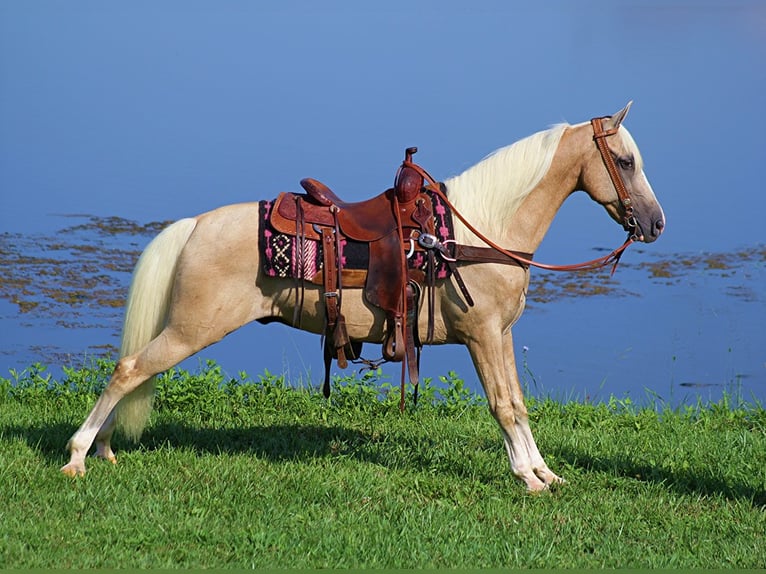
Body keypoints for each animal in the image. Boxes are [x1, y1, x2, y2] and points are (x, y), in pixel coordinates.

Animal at [61, 103, 664, 490]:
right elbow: (503, 404)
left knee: (133, 371)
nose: (656, 223)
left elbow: (517, 401)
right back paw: (78, 456)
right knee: (129, 369)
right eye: (626, 161)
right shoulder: (483, 335)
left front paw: (543, 472)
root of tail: (194, 226)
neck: (477, 232)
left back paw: (104, 448)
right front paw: (527, 478)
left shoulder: (502, 334)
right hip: (191, 330)